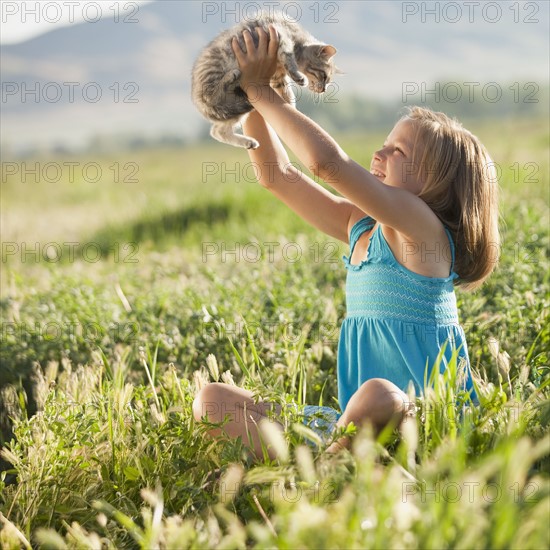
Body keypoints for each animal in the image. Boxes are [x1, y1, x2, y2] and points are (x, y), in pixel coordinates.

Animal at [192, 12, 338, 150]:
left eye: (327, 81)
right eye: (324, 76)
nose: (323, 89)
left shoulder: (278, 77)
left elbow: (287, 92)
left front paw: (291, 107)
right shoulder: (278, 34)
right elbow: (288, 56)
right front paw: (298, 76)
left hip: (234, 110)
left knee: (217, 131)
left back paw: (248, 141)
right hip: (214, 73)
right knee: (210, 93)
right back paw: (230, 77)